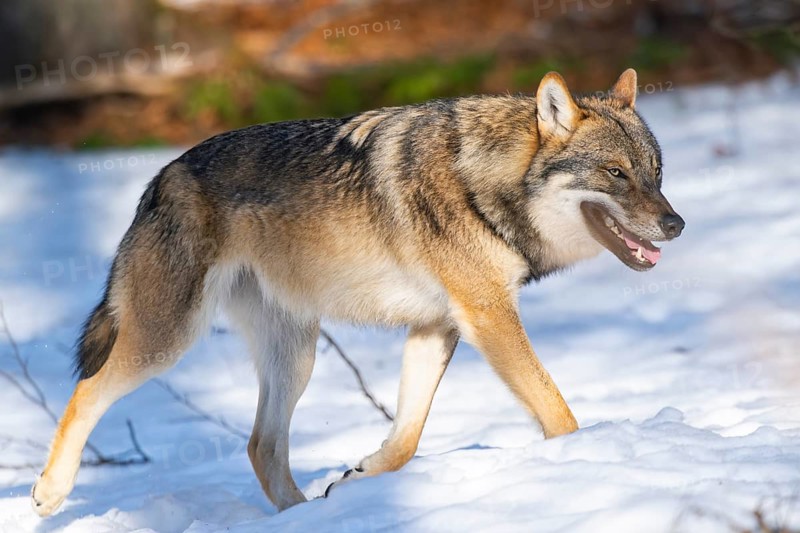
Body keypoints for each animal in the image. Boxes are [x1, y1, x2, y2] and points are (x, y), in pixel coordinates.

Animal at [32, 68, 683, 516]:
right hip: (170, 339)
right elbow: (557, 411)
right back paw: (48, 492)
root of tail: (159, 177)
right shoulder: (488, 315)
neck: (482, 180)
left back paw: (302, 518)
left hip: (296, 356)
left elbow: (408, 435)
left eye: (656, 174)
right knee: (85, 394)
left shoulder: (438, 326)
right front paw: (581, 460)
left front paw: (360, 478)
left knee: (261, 446)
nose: (676, 225)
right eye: (616, 174)